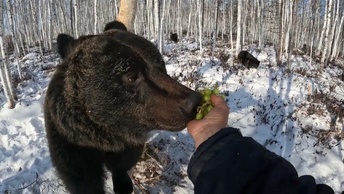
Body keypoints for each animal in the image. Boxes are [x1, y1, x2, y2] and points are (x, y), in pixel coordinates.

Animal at [44, 21, 203, 194]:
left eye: (161, 64)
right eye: (131, 76)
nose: (194, 102)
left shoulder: (128, 141)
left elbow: (123, 164)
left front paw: (123, 183)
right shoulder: (70, 143)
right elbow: (82, 178)